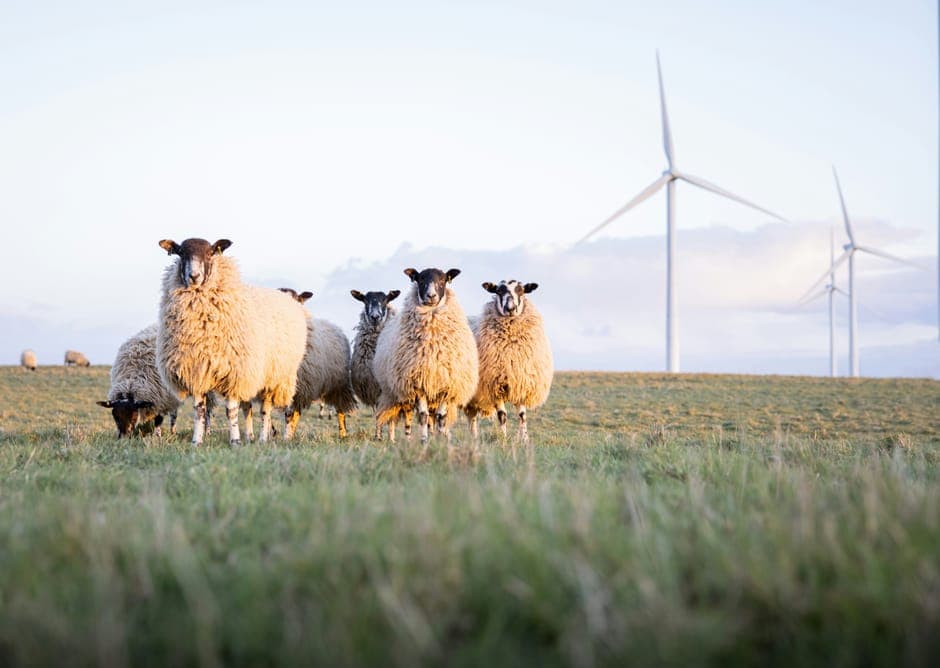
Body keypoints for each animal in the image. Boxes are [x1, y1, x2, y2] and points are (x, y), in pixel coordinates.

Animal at [156, 238, 307, 446]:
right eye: (181, 253)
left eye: (211, 253)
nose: (194, 276)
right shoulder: (197, 370)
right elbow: (199, 411)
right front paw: (197, 441)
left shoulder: (235, 372)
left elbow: (231, 411)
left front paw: (235, 441)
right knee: (249, 409)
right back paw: (250, 436)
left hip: (274, 376)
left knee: (265, 410)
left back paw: (262, 438)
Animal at [277, 288, 358, 439]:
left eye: (296, 299)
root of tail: (334, 326)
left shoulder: (299, 384)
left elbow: (289, 414)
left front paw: (286, 437)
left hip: (339, 384)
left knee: (340, 410)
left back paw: (343, 434)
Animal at [349, 288, 401, 438]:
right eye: (365, 300)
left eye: (385, 300)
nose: (375, 316)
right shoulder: (372, 388)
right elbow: (378, 414)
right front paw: (378, 435)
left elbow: (389, 416)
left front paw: (391, 437)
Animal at [372, 267, 478, 443]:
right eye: (421, 279)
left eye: (443, 280)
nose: (431, 296)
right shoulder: (418, 384)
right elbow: (423, 415)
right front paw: (424, 441)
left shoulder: (446, 385)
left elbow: (441, 417)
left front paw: (443, 440)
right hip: (392, 394)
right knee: (392, 417)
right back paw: (392, 439)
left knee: (433, 418)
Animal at [464, 280, 553, 442]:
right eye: (499, 291)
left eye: (521, 290)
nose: (510, 308)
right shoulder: (495, 386)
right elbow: (502, 416)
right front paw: (503, 439)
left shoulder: (522, 382)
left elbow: (522, 416)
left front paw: (525, 440)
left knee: (471, 417)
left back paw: (474, 439)